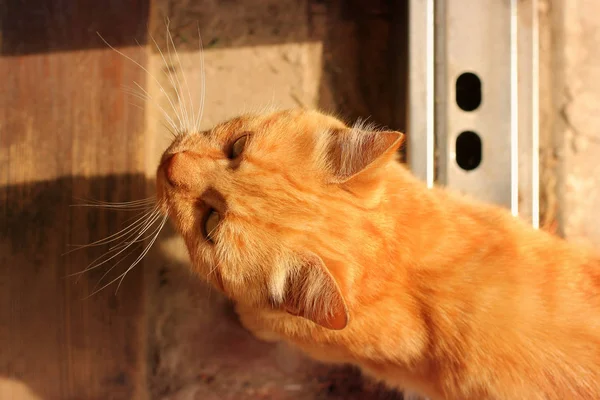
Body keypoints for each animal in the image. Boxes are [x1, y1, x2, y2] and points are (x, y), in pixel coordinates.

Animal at [156, 108, 600, 398]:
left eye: (210, 226)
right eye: (238, 145)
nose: (171, 162)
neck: (396, 259)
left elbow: (258, 320)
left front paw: (243, 316)